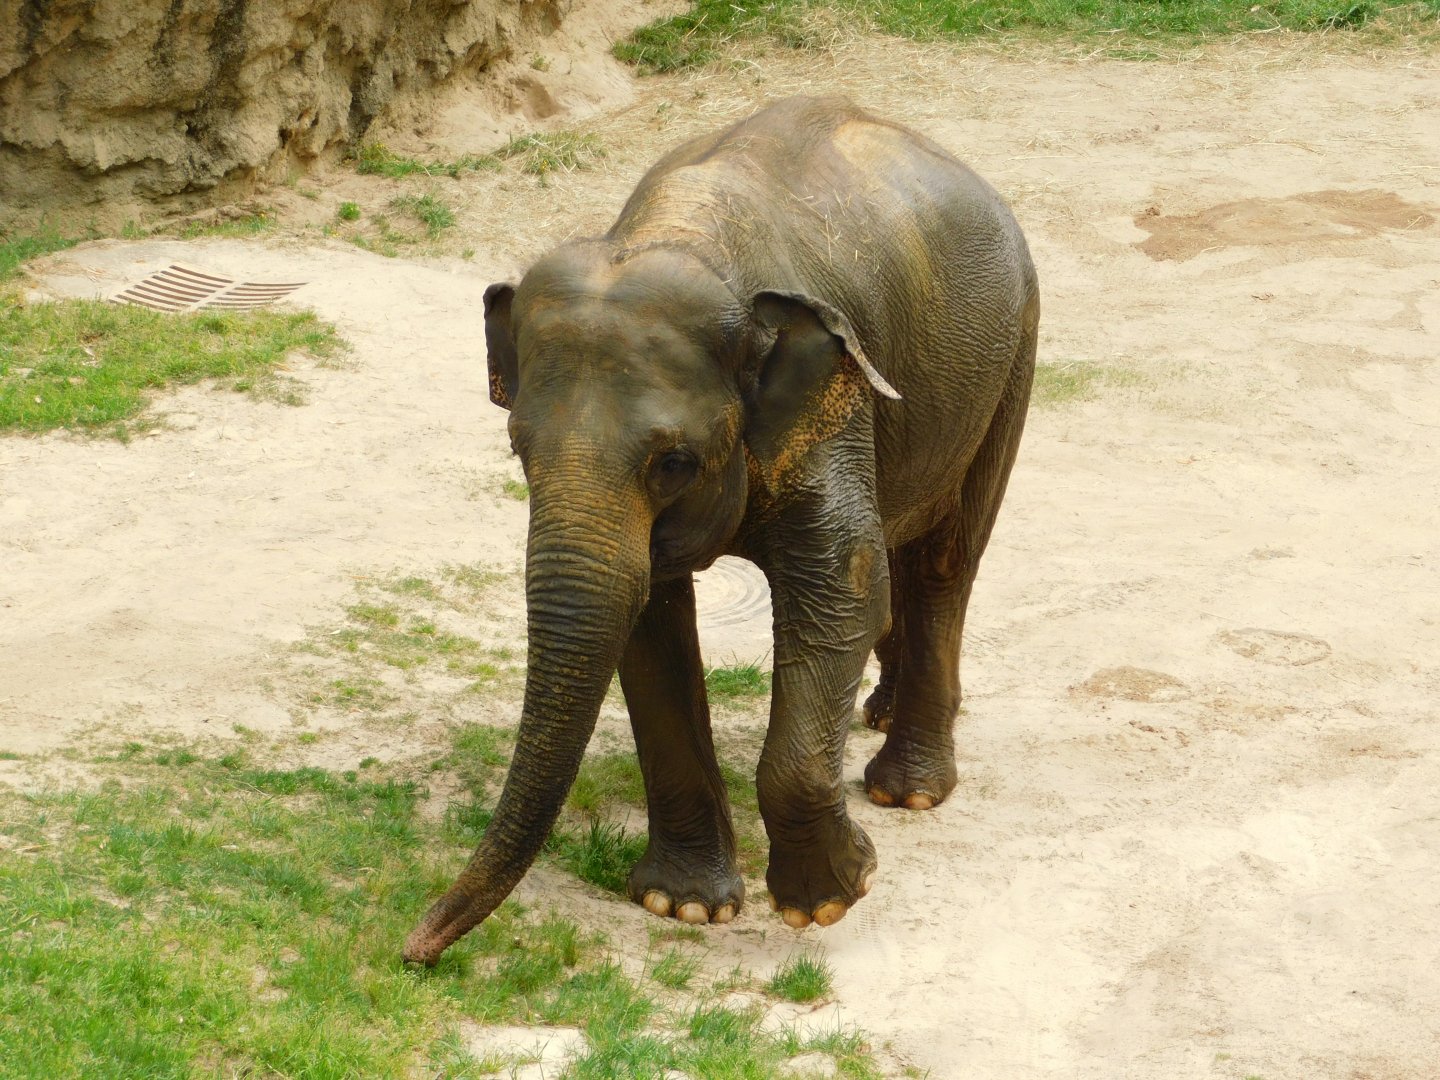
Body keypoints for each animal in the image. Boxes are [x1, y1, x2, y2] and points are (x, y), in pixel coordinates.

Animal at [403, 95, 1038, 966]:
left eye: (674, 462)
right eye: (518, 450)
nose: (414, 950)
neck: (682, 234)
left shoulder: (832, 397)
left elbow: (841, 591)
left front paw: (836, 892)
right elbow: (649, 618)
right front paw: (686, 906)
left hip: (1012, 355)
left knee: (942, 561)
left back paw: (906, 791)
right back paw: (876, 713)